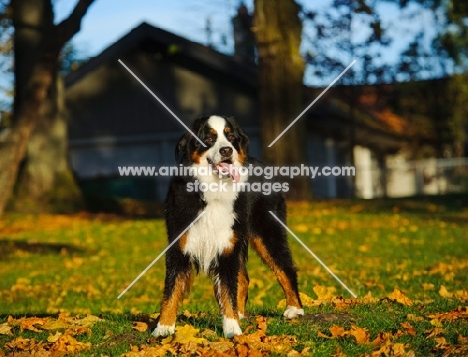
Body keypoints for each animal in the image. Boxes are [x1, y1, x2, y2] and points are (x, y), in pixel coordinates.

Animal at [153, 116, 304, 336]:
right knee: (244, 278)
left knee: (285, 267)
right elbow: (171, 289)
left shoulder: (227, 246)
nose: (227, 150)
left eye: (231, 136)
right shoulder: (179, 246)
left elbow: (227, 289)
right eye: (208, 138)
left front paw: (232, 328)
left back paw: (295, 309)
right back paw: (241, 314)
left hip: (267, 233)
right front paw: (163, 327)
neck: (215, 188)